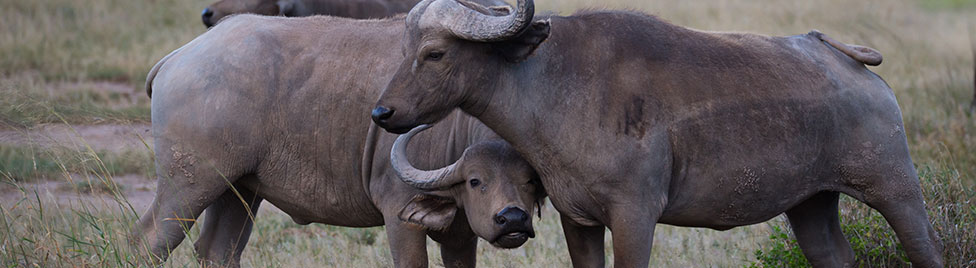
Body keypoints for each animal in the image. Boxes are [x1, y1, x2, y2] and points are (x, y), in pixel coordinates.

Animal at [372, 0, 944, 266]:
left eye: (435, 53)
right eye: (404, 49)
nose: (382, 112)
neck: (556, 86)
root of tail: (842, 55)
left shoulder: (635, 216)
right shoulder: (578, 220)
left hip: (896, 190)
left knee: (930, 250)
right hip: (811, 205)